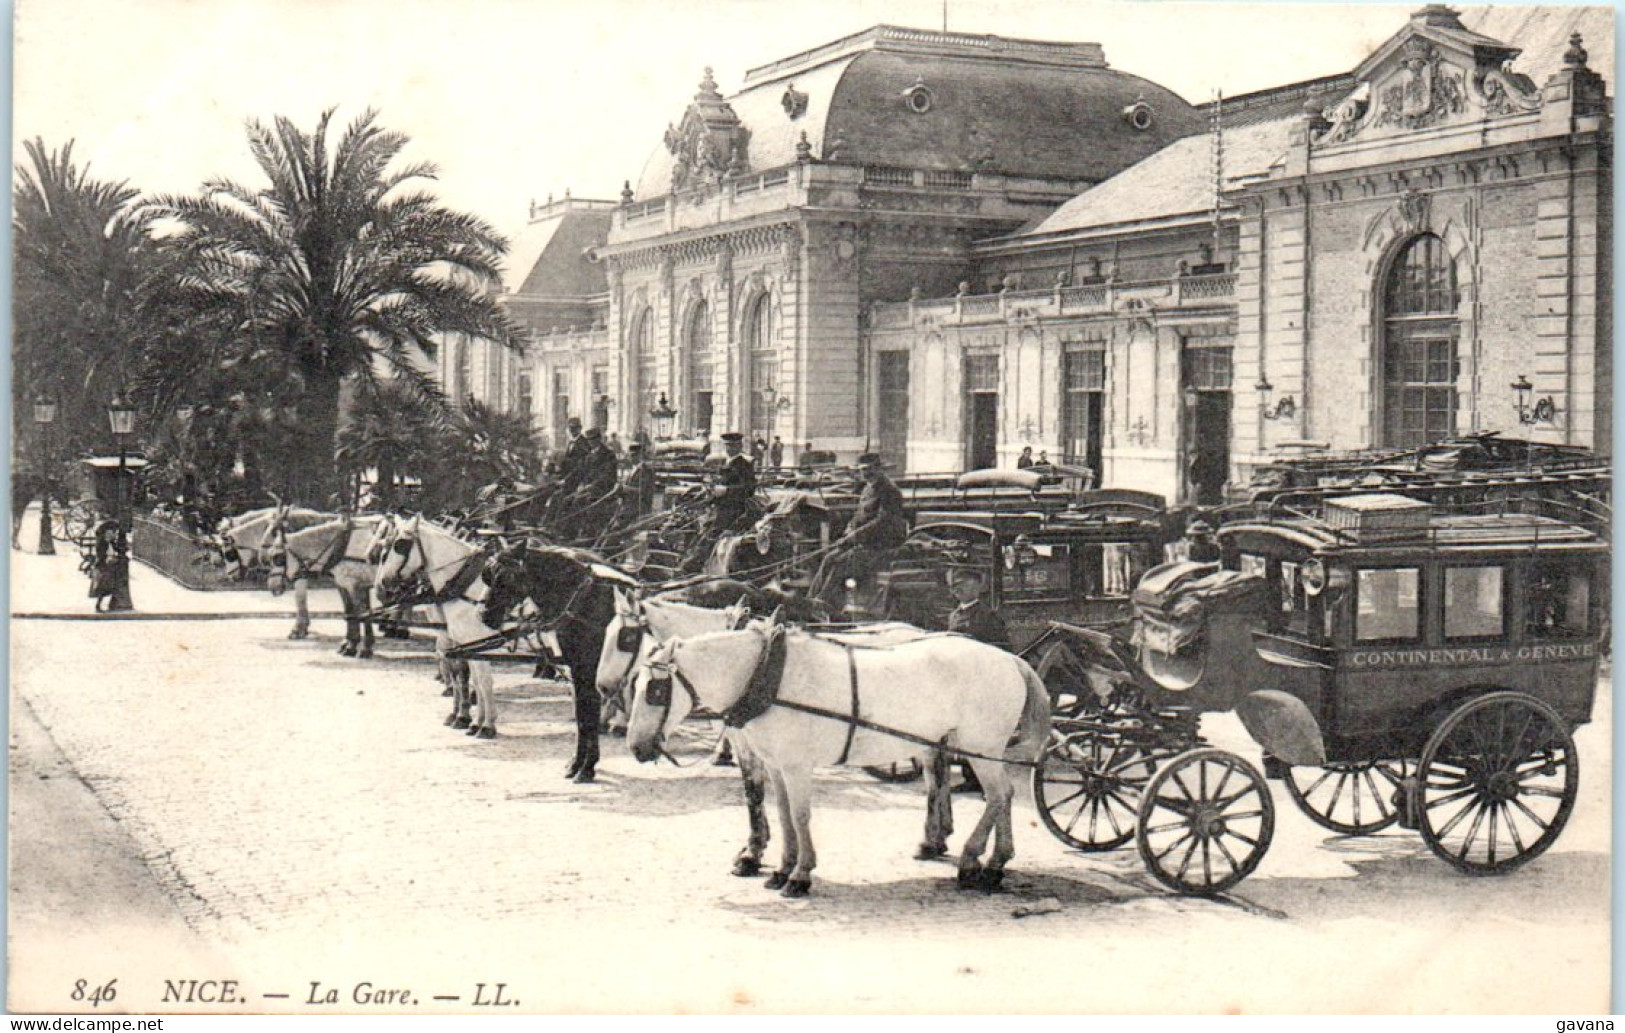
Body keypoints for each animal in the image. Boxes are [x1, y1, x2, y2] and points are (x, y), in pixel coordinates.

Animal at [373, 513, 500, 734]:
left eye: (400, 545)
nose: (382, 586)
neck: (467, 585)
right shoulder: (457, 639)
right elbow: (467, 676)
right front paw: (467, 719)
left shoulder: (474, 641)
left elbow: (481, 680)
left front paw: (484, 725)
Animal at [620, 620, 1053, 896]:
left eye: (655, 691)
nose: (637, 747)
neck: (768, 676)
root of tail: (1011, 660)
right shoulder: (776, 764)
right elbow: (781, 814)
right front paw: (780, 868)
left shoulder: (796, 765)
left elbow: (799, 816)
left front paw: (800, 875)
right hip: (971, 747)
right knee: (999, 796)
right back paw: (993, 864)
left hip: (981, 746)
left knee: (997, 795)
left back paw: (972, 860)